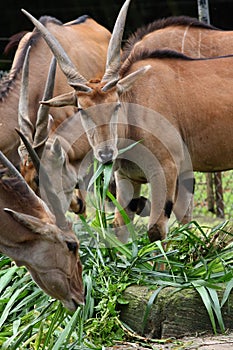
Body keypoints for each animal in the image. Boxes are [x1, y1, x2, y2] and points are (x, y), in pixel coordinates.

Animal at [22, 2, 233, 243]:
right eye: (82, 109)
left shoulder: (166, 172)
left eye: (116, 104)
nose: (106, 154)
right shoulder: (128, 178)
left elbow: (156, 230)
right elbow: (121, 227)